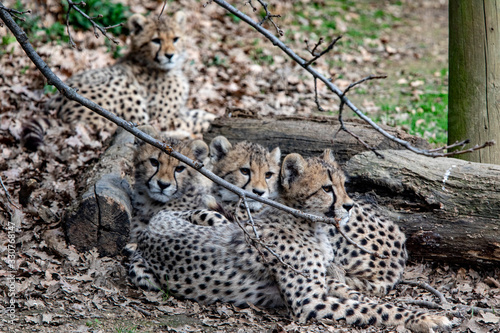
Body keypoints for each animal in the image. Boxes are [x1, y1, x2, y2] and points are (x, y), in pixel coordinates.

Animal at [21, 11, 215, 149]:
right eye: (156, 40)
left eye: (175, 39)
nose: (169, 55)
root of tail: (56, 107)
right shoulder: (166, 116)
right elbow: (195, 121)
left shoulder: (180, 111)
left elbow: (202, 114)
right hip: (125, 88)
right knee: (135, 130)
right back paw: (184, 136)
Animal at [125, 150, 450, 332]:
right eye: (327, 188)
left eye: (343, 185)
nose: (349, 206)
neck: (310, 225)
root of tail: (152, 227)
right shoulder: (309, 303)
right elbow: (374, 309)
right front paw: (426, 318)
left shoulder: (325, 283)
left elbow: (361, 297)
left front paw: (421, 311)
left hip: (217, 219)